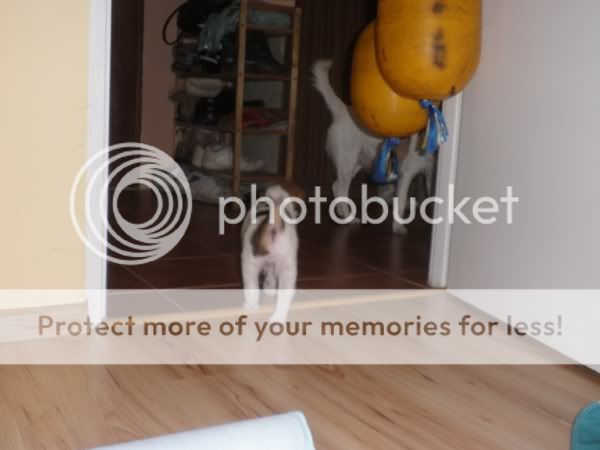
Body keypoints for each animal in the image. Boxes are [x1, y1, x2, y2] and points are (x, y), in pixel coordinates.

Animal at [241, 185, 299, 323]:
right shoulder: (274, 265)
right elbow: (271, 278)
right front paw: (270, 290)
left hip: (249, 264)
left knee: (252, 288)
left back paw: (250, 306)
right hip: (288, 268)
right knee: (284, 296)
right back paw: (278, 318)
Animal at [312, 60, 434, 234]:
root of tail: (343, 110)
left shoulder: (430, 174)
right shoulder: (406, 174)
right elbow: (400, 202)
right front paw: (398, 227)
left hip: (356, 163)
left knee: (336, 187)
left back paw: (344, 216)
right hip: (347, 163)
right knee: (341, 189)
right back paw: (348, 218)